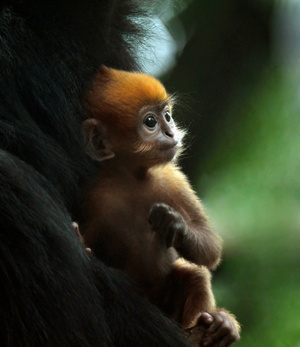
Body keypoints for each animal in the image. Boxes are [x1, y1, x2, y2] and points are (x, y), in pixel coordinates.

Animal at [79, 66, 239, 346]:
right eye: (151, 122)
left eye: (167, 116)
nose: (171, 133)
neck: (133, 179)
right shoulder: (98, 197)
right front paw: (82, 245)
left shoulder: (172, 179)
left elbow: (210, 247)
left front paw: (174, 224)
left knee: (195, 276)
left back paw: (219, 324)